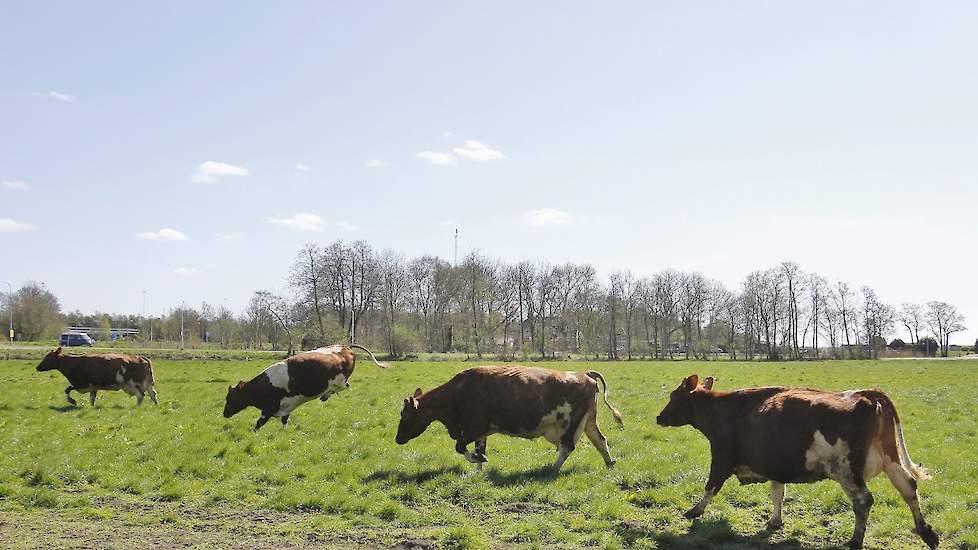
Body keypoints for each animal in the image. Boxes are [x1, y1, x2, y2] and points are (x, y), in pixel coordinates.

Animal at [223, 344, 386, 432]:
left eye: (231, 398)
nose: (224, 414)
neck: (265, 385)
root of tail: (345, 346)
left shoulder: (269, 408)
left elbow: (259, 423)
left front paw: (254, 433)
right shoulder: (285, 407)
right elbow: (284, 422)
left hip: (340, 380)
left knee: (344, 386)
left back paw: (326, 394)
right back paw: (325, 396)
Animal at [392, 366, 620, 474]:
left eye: (405, 415)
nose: (397, 439)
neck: (458, 393)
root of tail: (584, 374)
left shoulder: (474, 427)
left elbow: (460, 447)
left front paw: (477, 459)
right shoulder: (480, 432)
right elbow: (478, 449)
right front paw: (478, 467)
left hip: (569, 425)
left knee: (567, 448)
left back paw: (551, 470)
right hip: (588, 421)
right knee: (600, 441)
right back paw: (610, 465)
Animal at [656, 378, 936, 548]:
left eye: (674, 396)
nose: (659, 417)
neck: (720, 409)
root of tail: (863, 395)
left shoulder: (722, 456)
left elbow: (711, 486)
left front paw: (694, 511)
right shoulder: (774, 465)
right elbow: (778, 493)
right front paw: (775, 521)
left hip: (845, 470)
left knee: (864, 501)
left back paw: (855, 541)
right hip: (890, 460)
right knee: (908, 487)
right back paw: (926, 531)